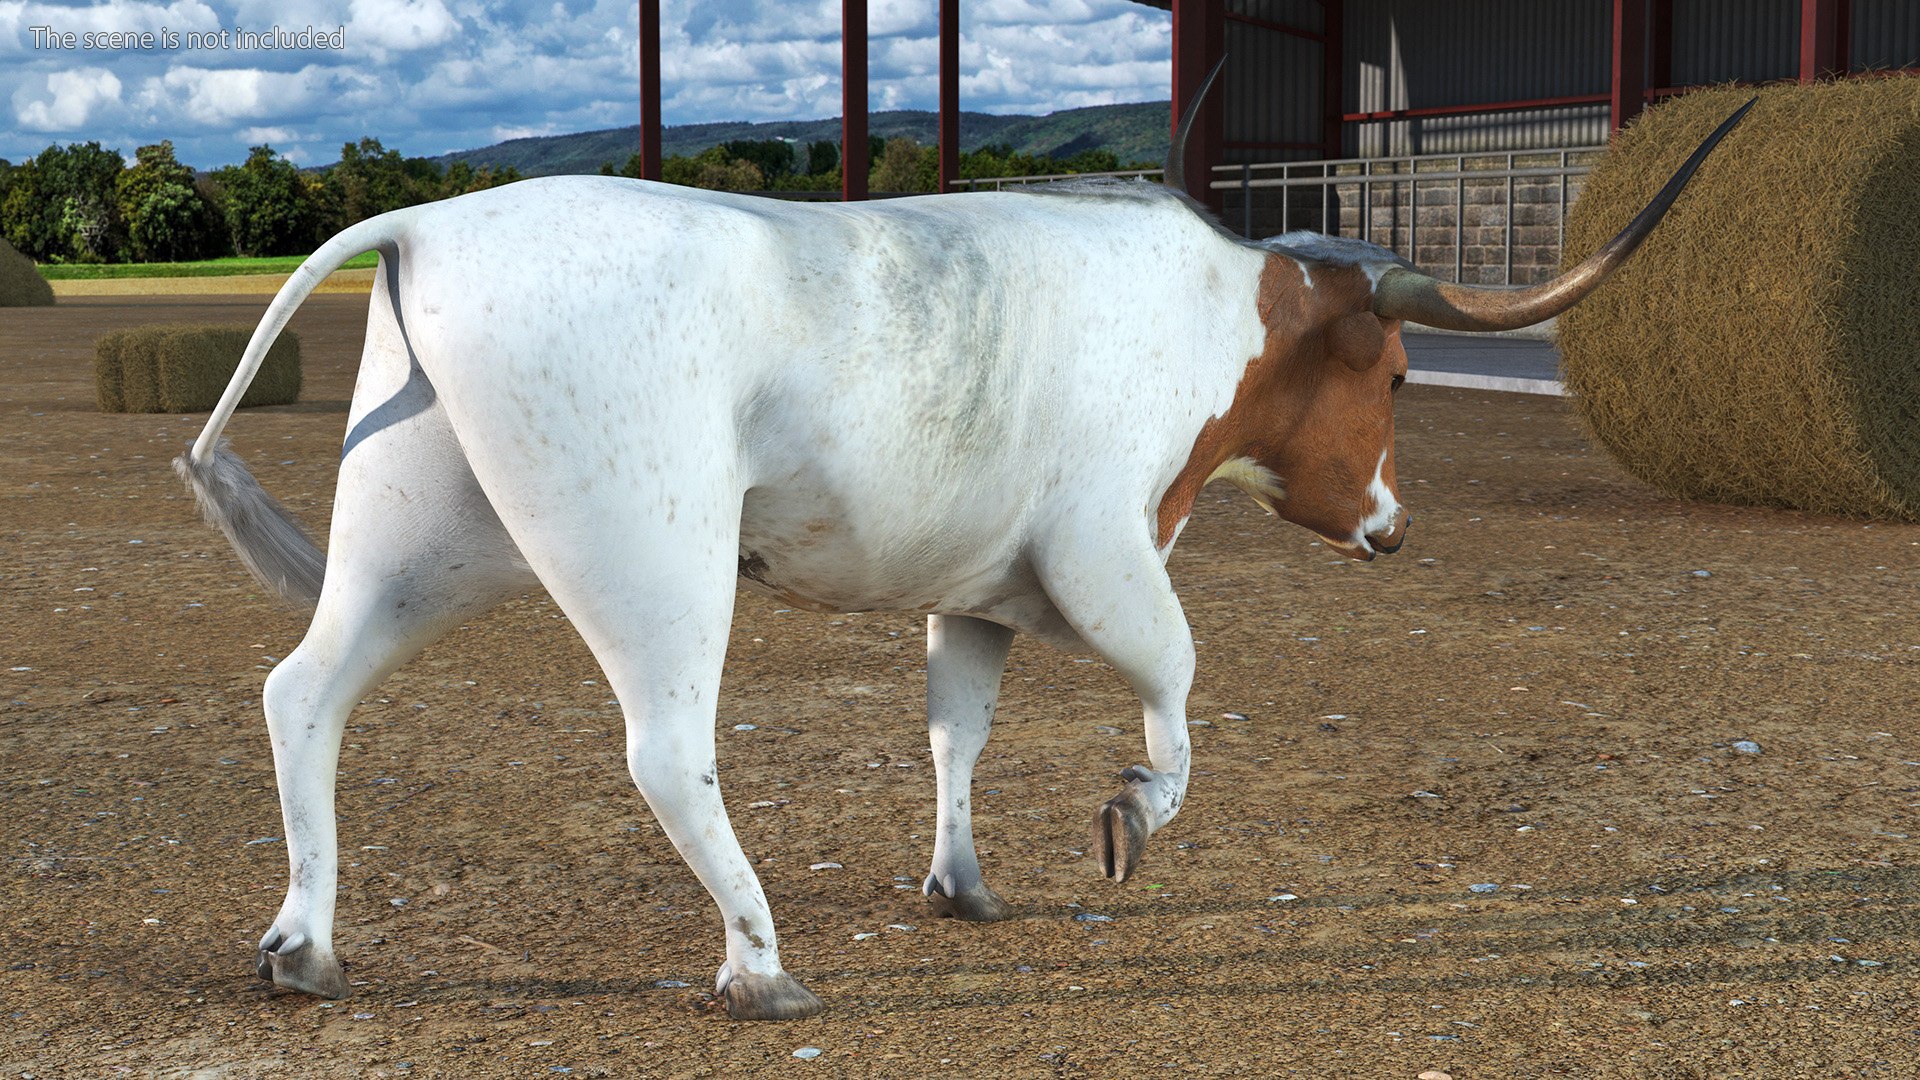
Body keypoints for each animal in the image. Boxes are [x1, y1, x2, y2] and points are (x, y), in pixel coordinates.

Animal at [177, 83, 1751, 1019]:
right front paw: (1130, 816)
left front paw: (965, 883)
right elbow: (1177, 683)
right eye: (1405, 377)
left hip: (424, 539)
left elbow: (957, 728)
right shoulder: (1109, 548)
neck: (1213, 311)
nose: (1391, 524)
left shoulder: (980, 589)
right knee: (666, 751)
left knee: (304, 690)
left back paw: (304, 948)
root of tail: (430, 219)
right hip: (651, 554)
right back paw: (760, 965)